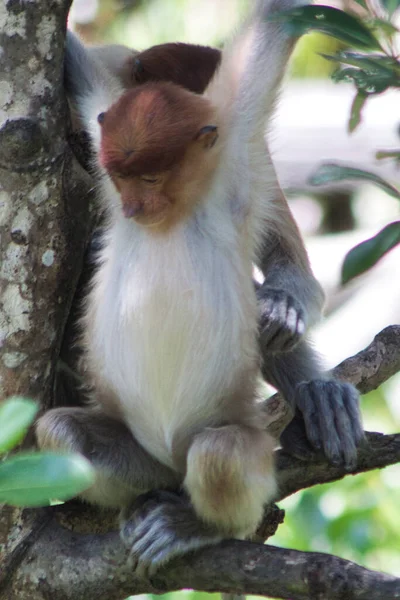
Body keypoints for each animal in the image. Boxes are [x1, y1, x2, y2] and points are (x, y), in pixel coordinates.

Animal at [36, 0, 362, 576]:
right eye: (128, 178)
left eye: (151, 178)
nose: (133, 207)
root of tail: (168, 464)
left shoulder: (239, 155)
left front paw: (291, 329)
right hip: (135, 454)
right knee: (63, 434)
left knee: (221, 453)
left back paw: (195, 521)